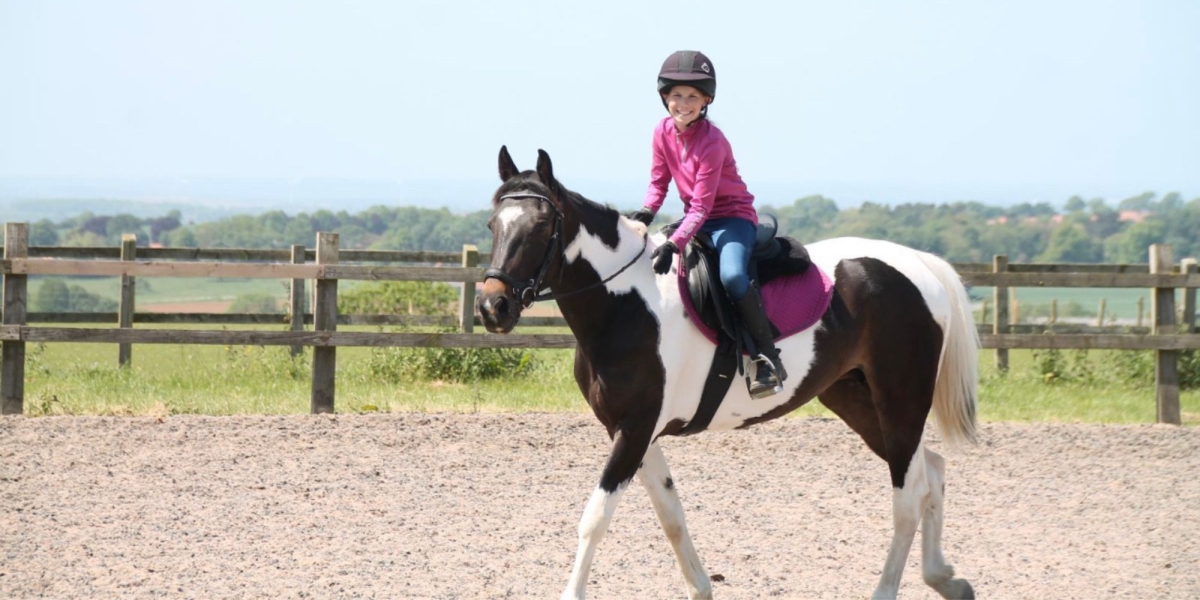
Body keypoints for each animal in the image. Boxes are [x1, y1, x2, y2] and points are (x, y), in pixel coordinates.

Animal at [477, 147, 980, 600]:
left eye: (541, 226)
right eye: (492, 224)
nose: (492, 306)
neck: (626, 303)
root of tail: (919, 264)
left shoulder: (635, 430)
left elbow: (595, 519)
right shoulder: (634, 432)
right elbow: (671, 516)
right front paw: (700, 588)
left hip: (899, 399)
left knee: (909, 494)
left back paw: (889, 589)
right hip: (854, 399)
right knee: (932, 471)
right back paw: (947, 580)